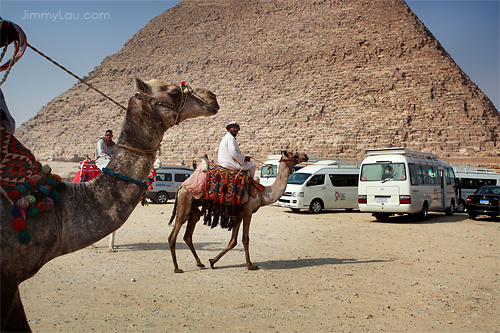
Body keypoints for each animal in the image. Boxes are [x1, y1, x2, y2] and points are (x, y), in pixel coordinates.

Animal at [0, 77, 219, 330]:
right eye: (174, 92)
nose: (213, 97)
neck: (56, 208)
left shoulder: (13, 281)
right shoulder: (7, 281)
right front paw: (109, 247)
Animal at [168, 150, 308, 272]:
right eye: (294, 154)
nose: (305, 156)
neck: (262, 194)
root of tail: (181, 187)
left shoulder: (238, 215)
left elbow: (233, 241)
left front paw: (212, 261)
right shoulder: (248, 213)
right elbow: (245, 239)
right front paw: (250, 265)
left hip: (193, 206)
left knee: (189, 232)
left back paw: (199, 263)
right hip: (185, 201)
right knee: (174, 233)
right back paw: (177, 268)